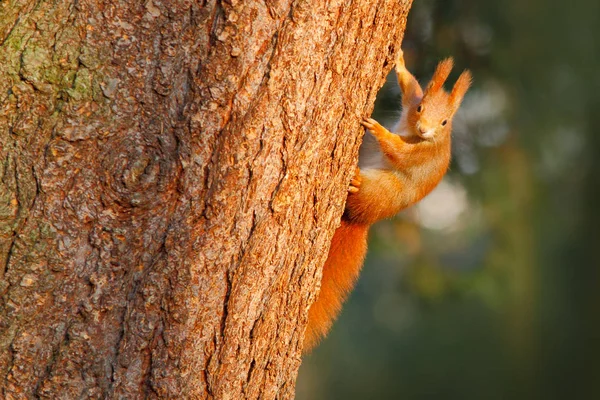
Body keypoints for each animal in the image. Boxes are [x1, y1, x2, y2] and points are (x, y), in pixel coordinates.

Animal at [308, 49, 472, 350]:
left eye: (445, 122)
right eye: (421, 108)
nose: (424, 130)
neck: (412, 131)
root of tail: (362, 221)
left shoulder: (422, 154)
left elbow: (399, 152)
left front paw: (379, 130)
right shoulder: (410, 102)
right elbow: (410, 87)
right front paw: (400, 61)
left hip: (381, 192)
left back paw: (356, 181)